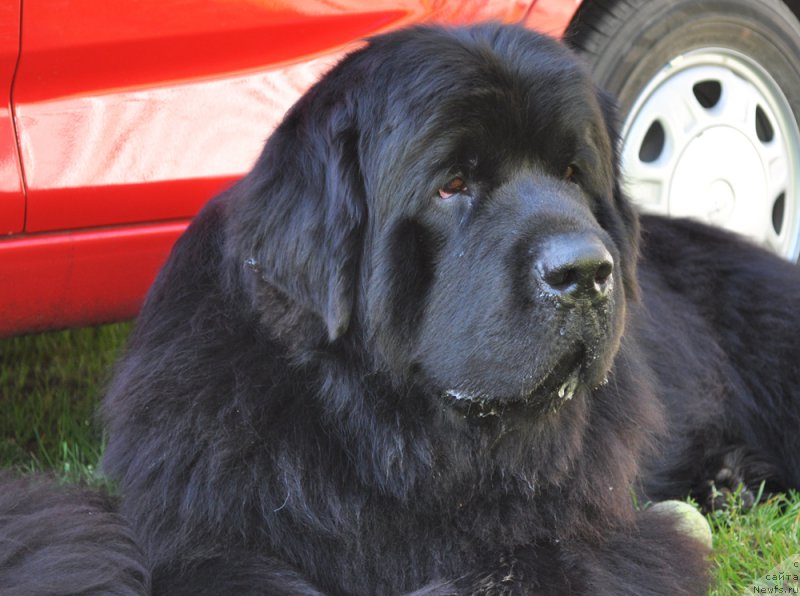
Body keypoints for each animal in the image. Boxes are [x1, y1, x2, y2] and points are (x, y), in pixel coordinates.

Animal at [1, 21, 800, 592]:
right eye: (452, 184)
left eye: (575, 174)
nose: (586, 270)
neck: (390, 438)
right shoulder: (210, 533)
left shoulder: (597, 544)